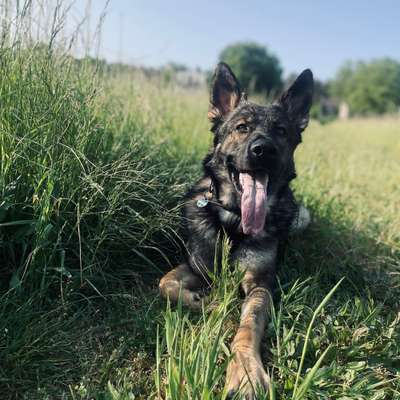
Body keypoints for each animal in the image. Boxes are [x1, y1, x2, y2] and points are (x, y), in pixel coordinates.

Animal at [159, 61, 312, 396]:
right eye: (242, 127)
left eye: (281, 131)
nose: (263, 149)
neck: (233, 223)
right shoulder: (198, 267)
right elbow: (165, 284)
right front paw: (203, 303)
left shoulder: (259, 284)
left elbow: (248, 326)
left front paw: (245, 371)